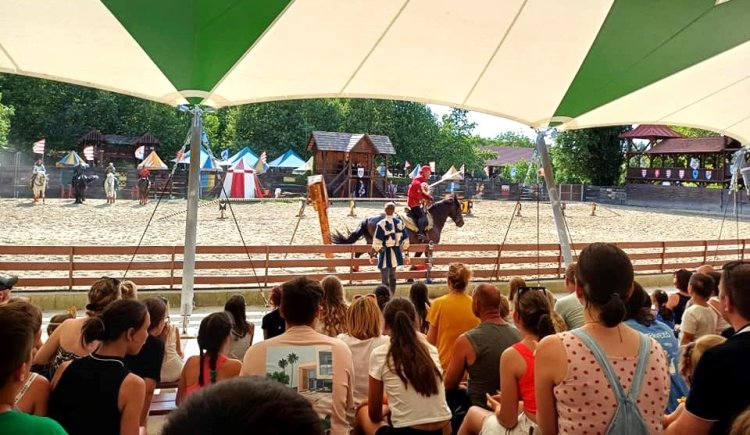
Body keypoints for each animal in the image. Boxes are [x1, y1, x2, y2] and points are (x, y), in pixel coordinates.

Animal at [332, 194, 465, 267]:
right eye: (459, 208)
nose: (461, 223)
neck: (434, 218)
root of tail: (368, 218)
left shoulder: (421, 247)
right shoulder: (427, 246)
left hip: (370, 242)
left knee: (360, 253)